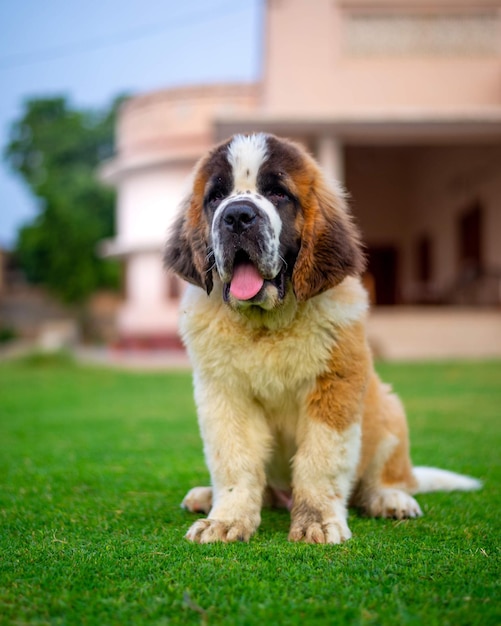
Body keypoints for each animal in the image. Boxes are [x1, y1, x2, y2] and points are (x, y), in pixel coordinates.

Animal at [164, 133, 480, 540]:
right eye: (216, 197)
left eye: (278, 193)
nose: (237, 216)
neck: (268, 325)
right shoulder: (224, 395)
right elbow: (235, 460)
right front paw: (227, 519)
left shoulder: (334, 387)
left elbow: (321, 459)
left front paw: (317, 521)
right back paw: (208, 495)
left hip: (388, 411)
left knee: (381, 478)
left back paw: (389, 498)